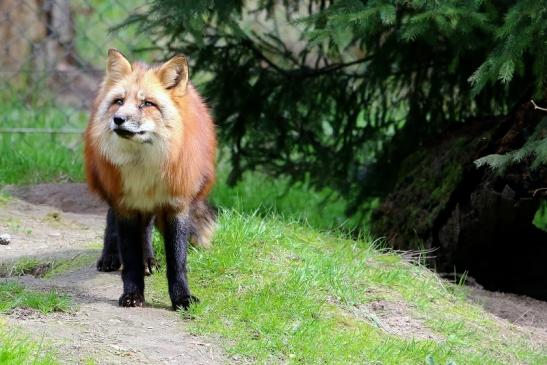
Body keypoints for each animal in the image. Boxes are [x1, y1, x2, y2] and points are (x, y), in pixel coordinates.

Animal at [83, 48, 216, 308]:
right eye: (119, 102)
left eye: (147, 103)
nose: (118, 119)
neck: (143, 167)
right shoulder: (125, 204)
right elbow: (130, 259)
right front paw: (133, 295)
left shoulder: (176, 204)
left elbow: (177, 261)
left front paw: (182, 297)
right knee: (112, 220)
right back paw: (110, 256)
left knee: (145, 229)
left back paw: (149, 260)